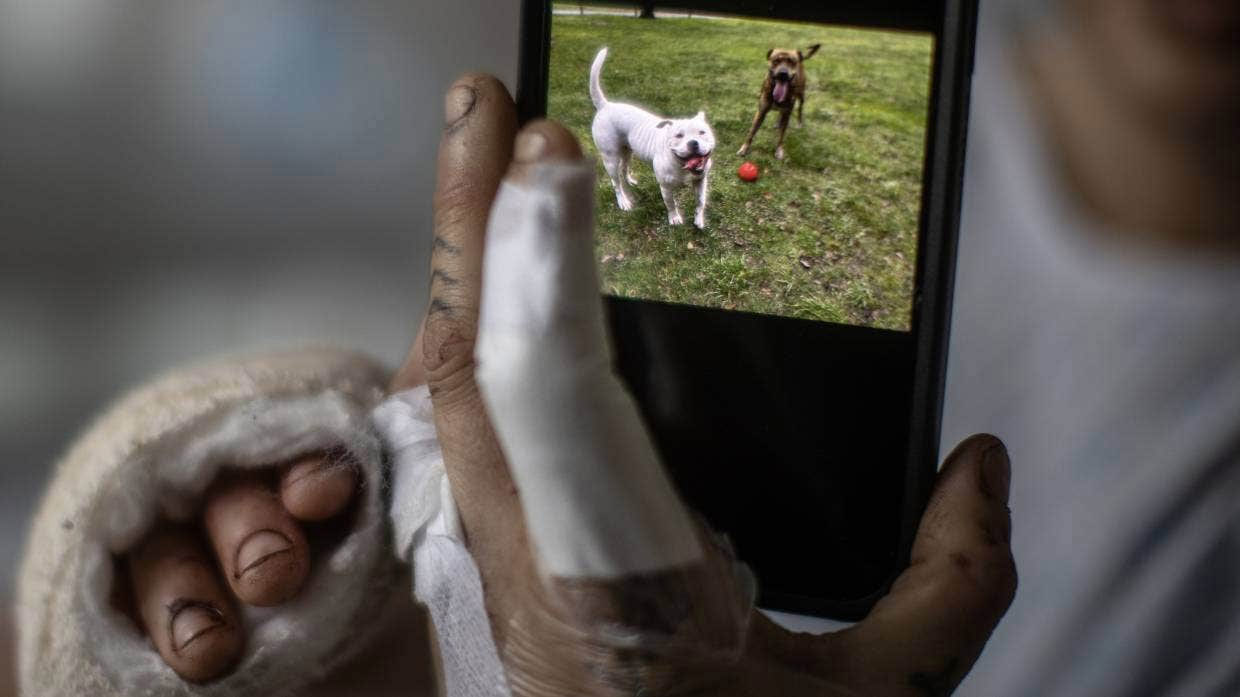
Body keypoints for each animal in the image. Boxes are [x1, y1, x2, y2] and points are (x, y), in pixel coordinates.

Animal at [590, 48, 719, 228]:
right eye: (678, 135)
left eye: (702, 132)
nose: (693, 143)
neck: (680, 164)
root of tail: (605, 105)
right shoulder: (665, 187)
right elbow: (671, 204)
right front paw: (674, 218)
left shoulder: (701, 181)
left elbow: (700, 201)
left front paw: (699, 220)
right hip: (610, 158)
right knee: (616, 182)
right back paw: (623, 201)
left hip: (627, 150)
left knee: (624, 168)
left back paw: (630, 180)